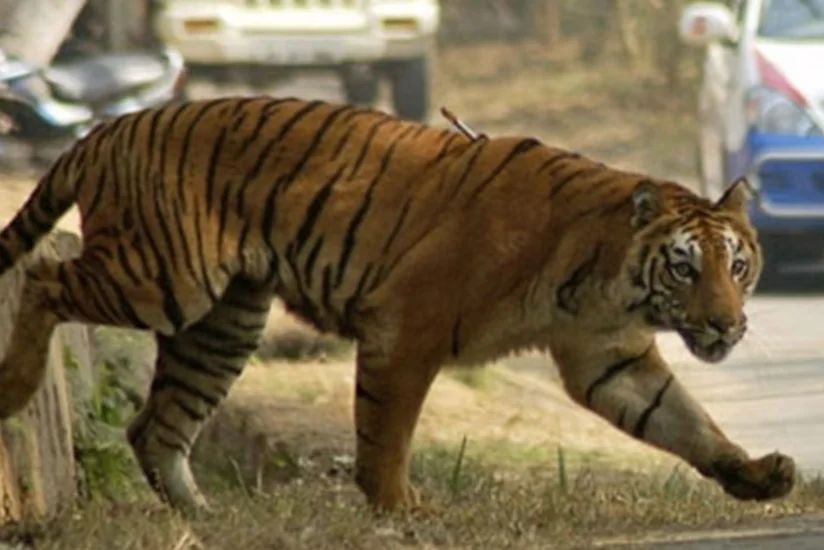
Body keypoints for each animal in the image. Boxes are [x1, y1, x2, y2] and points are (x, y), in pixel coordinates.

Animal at [0, 96, 795, 513]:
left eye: (738, 266)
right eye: (685, 269)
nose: (726, 323)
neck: (608, 280)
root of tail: (108, 128)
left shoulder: (608, 356)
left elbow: (686, 423)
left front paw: (756, 475)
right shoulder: (408, 326)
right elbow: (386, 430)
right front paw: (397, 507)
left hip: (221, 323)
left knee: (154, 427)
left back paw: (205, 516)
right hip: (165, 279)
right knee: (42, 277)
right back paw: (15, 387)